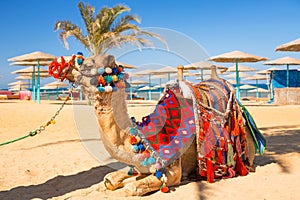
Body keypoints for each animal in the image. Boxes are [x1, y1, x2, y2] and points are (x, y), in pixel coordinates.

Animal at [48, 53, 264, 195]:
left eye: (86, 63)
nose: (59, 64)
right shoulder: (136, 165)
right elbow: (110, 179)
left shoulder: (173, 170)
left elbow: (131, 187)